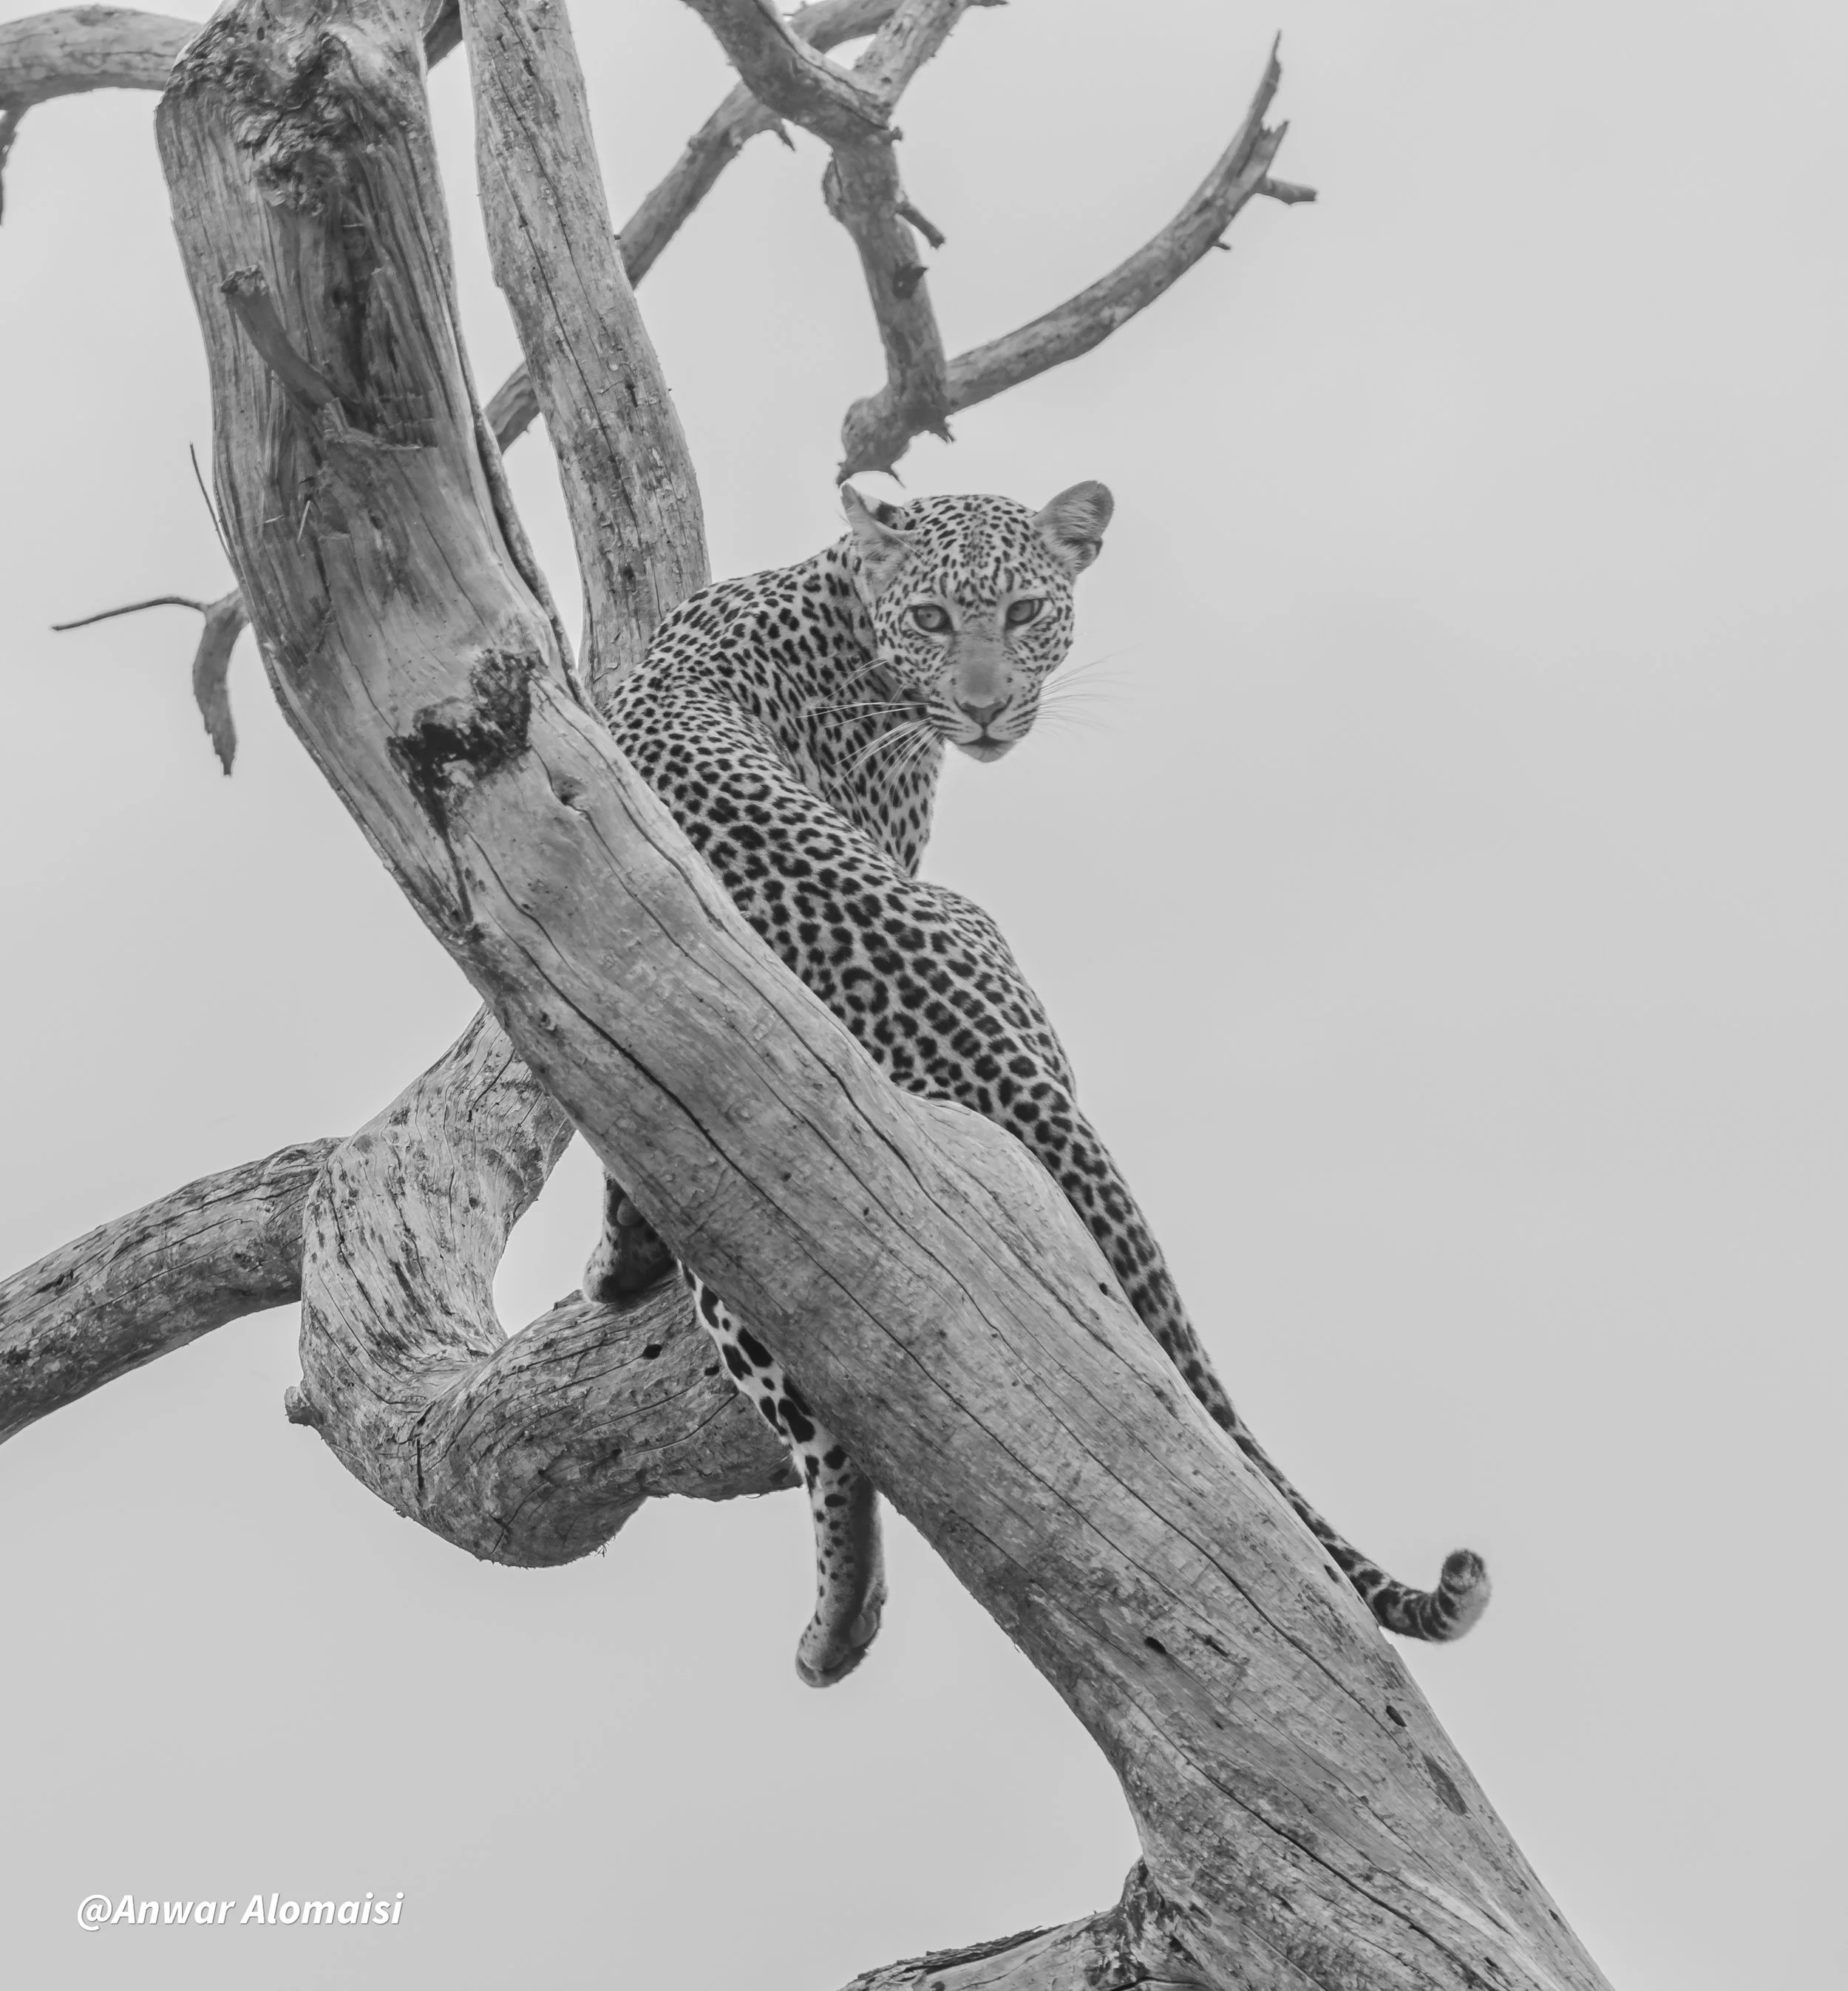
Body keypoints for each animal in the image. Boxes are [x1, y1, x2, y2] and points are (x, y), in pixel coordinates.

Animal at [584, 480, 1490, 1685]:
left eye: (1022, 612)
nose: (982, 711)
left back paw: (837, 1620)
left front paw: (609, 1262)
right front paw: (611, 1261)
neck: (835, 593)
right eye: (932, 619)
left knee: (829, 1429)